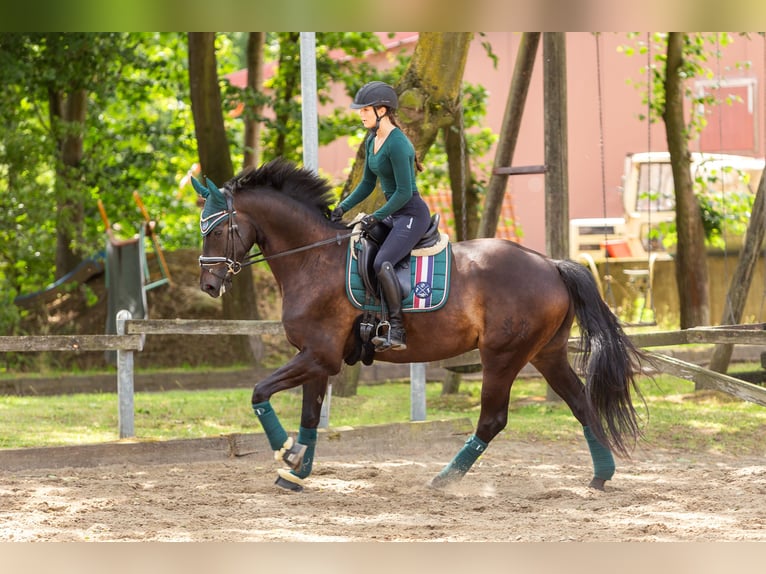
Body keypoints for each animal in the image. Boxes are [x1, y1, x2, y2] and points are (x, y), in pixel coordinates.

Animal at [194, 158, 647, 492]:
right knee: (580, 402)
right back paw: (601, 476)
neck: (313, 259)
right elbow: (309, 416)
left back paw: (444, 480)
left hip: (503, 356)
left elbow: (259, 392)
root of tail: (551, 264)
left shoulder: (318, 356)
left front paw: (285, 453)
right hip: (546, 353)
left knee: (493, 420)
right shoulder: (316, 359)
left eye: (216, 230)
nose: (209, 285)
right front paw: (296, 471)